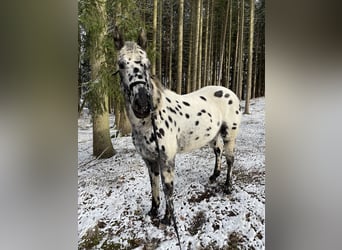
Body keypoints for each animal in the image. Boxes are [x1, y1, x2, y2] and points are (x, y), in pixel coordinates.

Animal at [113, 28, 242, 242]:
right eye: (121, 64)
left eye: (147, 64)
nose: (142, 104)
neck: (148, 121)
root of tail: (229, 92)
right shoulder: (149, 159)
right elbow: (154, 184)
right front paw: (153, 211)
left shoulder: (166, 158)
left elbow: (168, 188)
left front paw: (167, 219)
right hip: (213, 136)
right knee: (218, 153)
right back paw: (214, 176)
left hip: (229, 134)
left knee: (230, 158)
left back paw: (227, 186)